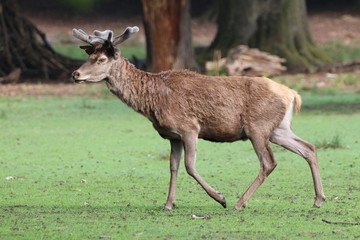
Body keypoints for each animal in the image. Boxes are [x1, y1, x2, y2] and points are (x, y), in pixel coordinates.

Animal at [71, 26, 324, 210]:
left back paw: (239, 203)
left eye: (101, 60)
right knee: (308, 147)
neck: (152, 101)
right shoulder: (172, 136)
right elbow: (173, 166)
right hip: (279, 129)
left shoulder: (189, 128)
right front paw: (168, 203)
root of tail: (292, 94)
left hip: (258, 127)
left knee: (269, 162)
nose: (75, 74)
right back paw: (319, 199)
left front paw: (220, 197)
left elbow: (190, 166)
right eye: (90, 56)